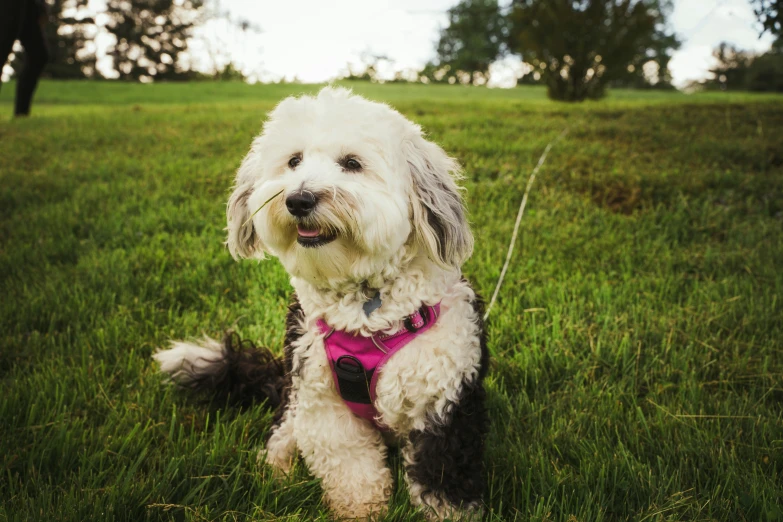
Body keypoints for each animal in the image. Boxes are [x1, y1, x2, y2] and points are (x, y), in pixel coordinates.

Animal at [154, 87, 490, 516]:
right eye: (294, 160)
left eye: (352, 163)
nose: (299, 199)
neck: (366, 308)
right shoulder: (322, 400)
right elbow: (352, 471)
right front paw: (361, 513)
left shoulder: (446, 401)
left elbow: (442, 475)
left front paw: (448, 511)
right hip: (294, 396)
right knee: (284, 430)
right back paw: (277, 471)